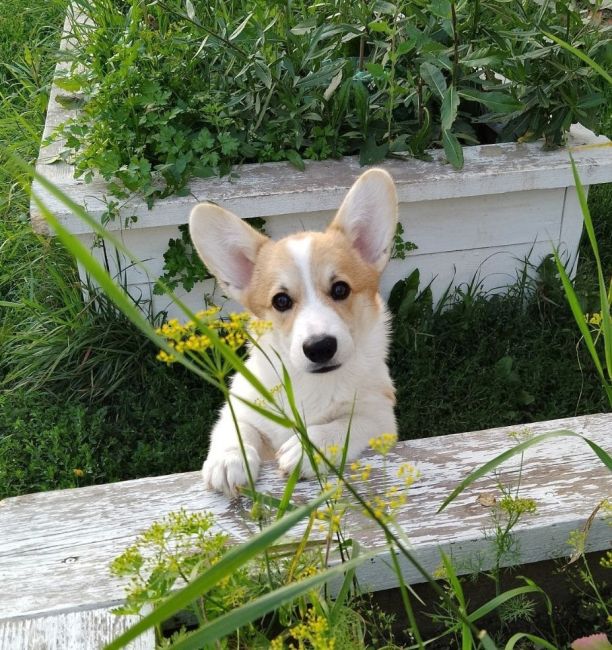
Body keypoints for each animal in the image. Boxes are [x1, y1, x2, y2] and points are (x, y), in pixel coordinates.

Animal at [191, 167, 402, 492]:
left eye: (340, 289)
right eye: (281, 301)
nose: (320, 347)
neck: (310, 384)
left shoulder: (380, 418)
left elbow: (347, 424)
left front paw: (308, 449)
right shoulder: (241, 405)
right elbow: (233, 427)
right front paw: (229, 459)